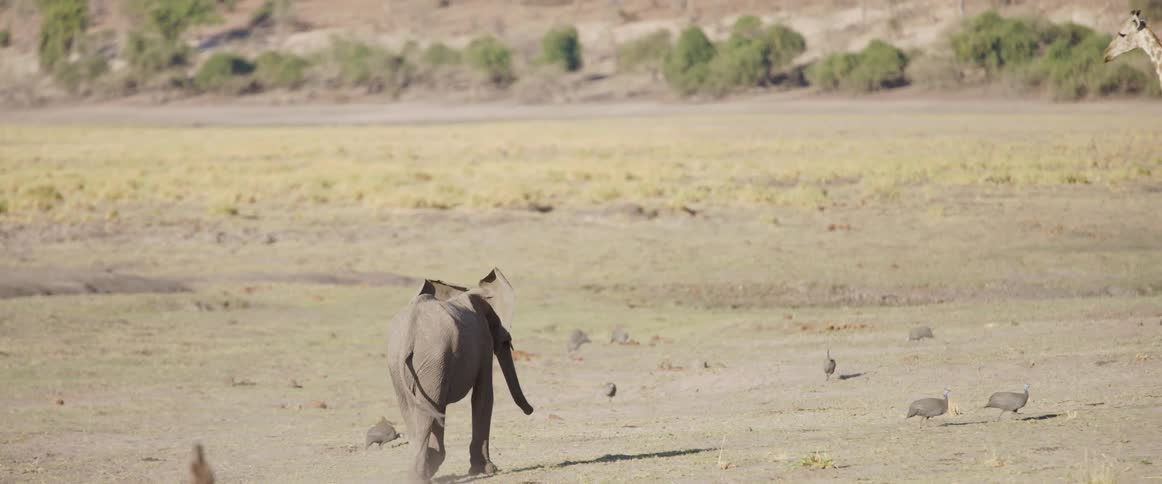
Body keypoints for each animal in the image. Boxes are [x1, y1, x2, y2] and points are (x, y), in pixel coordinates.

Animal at [386, 268, 535, 483]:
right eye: (506, 340)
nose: (530, 410)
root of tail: (409, 333)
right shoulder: (483, 341)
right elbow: (484, 396)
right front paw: (487, 469)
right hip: (432, 357)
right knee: (427, 413)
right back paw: (422, 476)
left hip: (404, 362)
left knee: (415, 410)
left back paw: (424, 470)